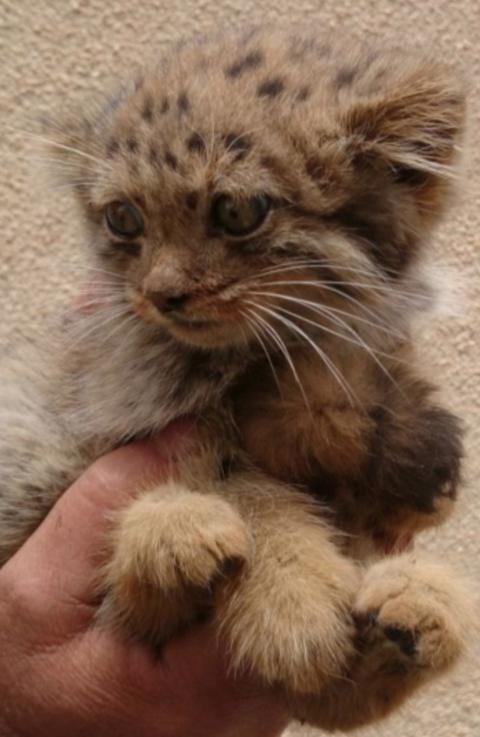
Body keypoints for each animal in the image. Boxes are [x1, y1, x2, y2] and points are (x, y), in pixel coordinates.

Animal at [0, 27, 474, 732]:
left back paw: (417, 610)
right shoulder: (121, 418)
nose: (161, 295)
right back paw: (171, 540)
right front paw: (294, 603)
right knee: (134, 604)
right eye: (123, 219)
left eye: (240, 211)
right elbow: (245, 481)